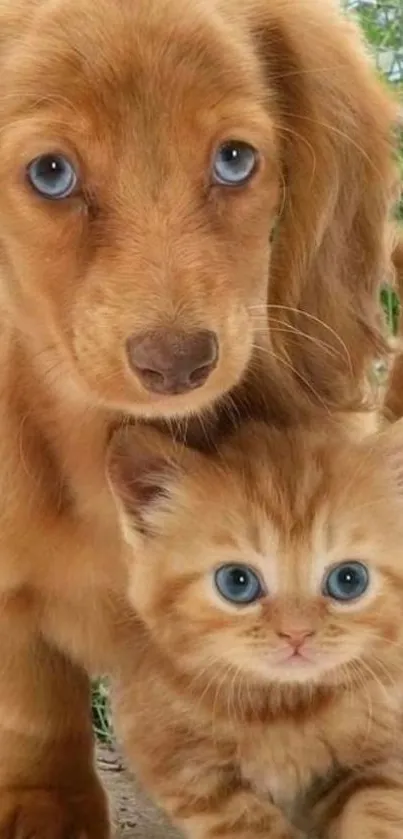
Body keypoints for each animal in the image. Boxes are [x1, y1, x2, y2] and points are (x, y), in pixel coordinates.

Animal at [108, 420, 403, 839]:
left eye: (349, 579)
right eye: (237, 582)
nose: (296, 633)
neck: (283, 709)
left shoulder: (387, 748)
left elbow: (378, 808)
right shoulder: (173, 758)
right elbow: (244, 820)